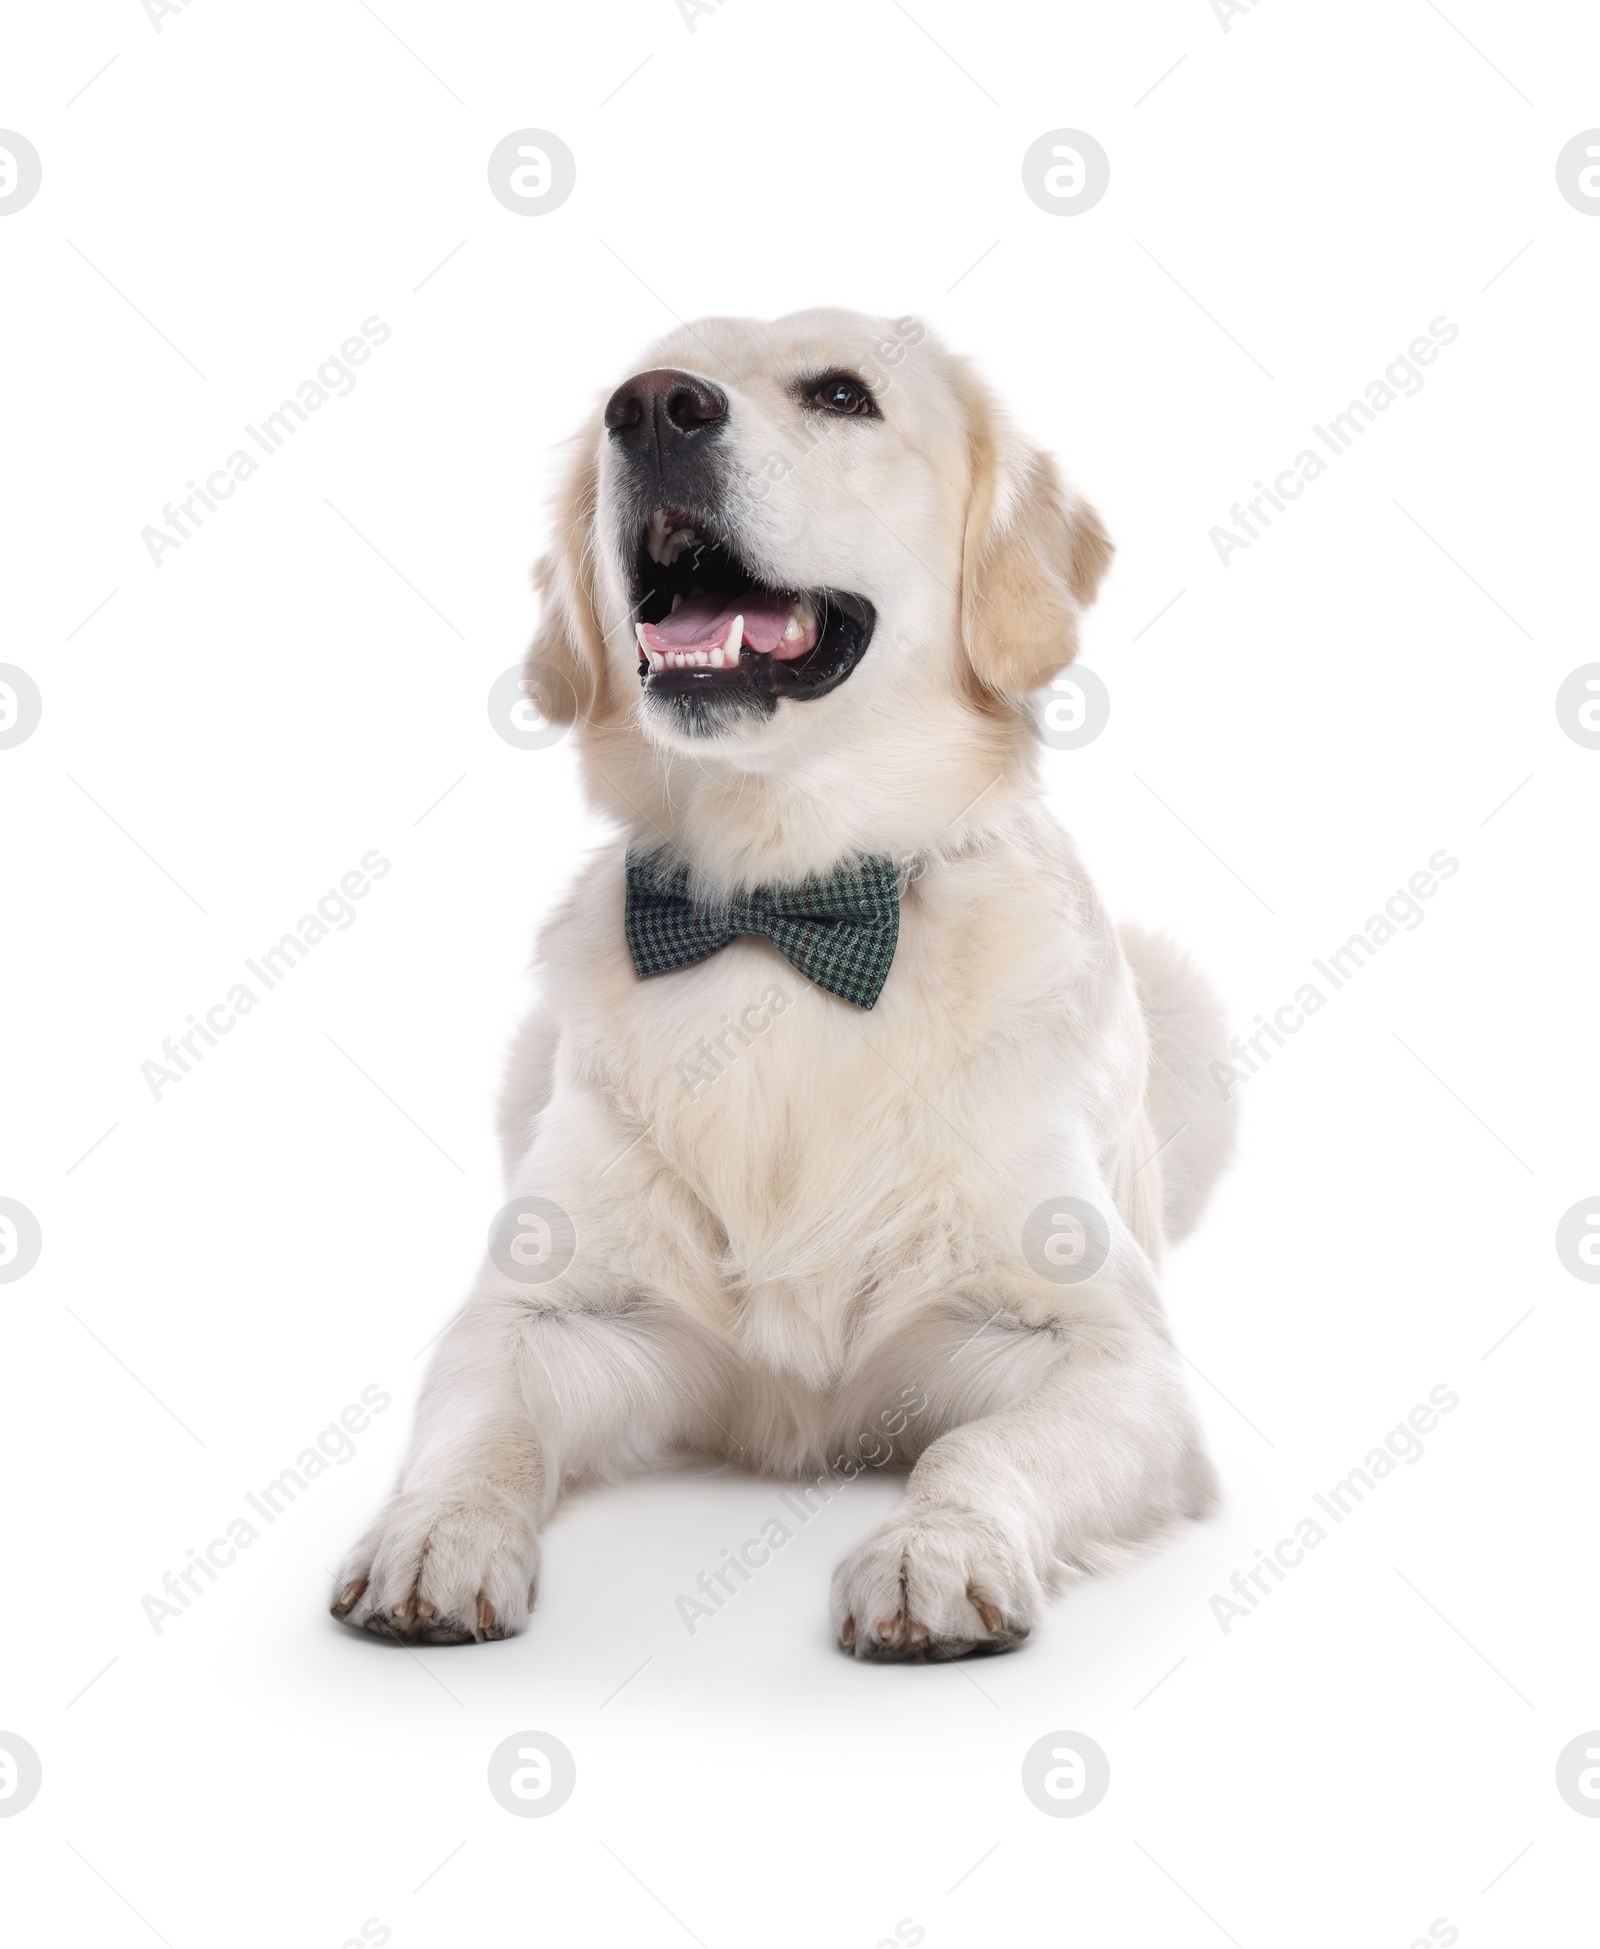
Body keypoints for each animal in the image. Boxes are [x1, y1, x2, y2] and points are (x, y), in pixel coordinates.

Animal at [327, 304, 1239, 1660]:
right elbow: (476, 1427)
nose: (652, 408)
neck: (782, 909)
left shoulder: (1109, 1352)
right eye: (624, 392)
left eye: (843, 394)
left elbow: (980, 1448)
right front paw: (435, 1530)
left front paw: (933, 1551)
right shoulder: (540, 1309)